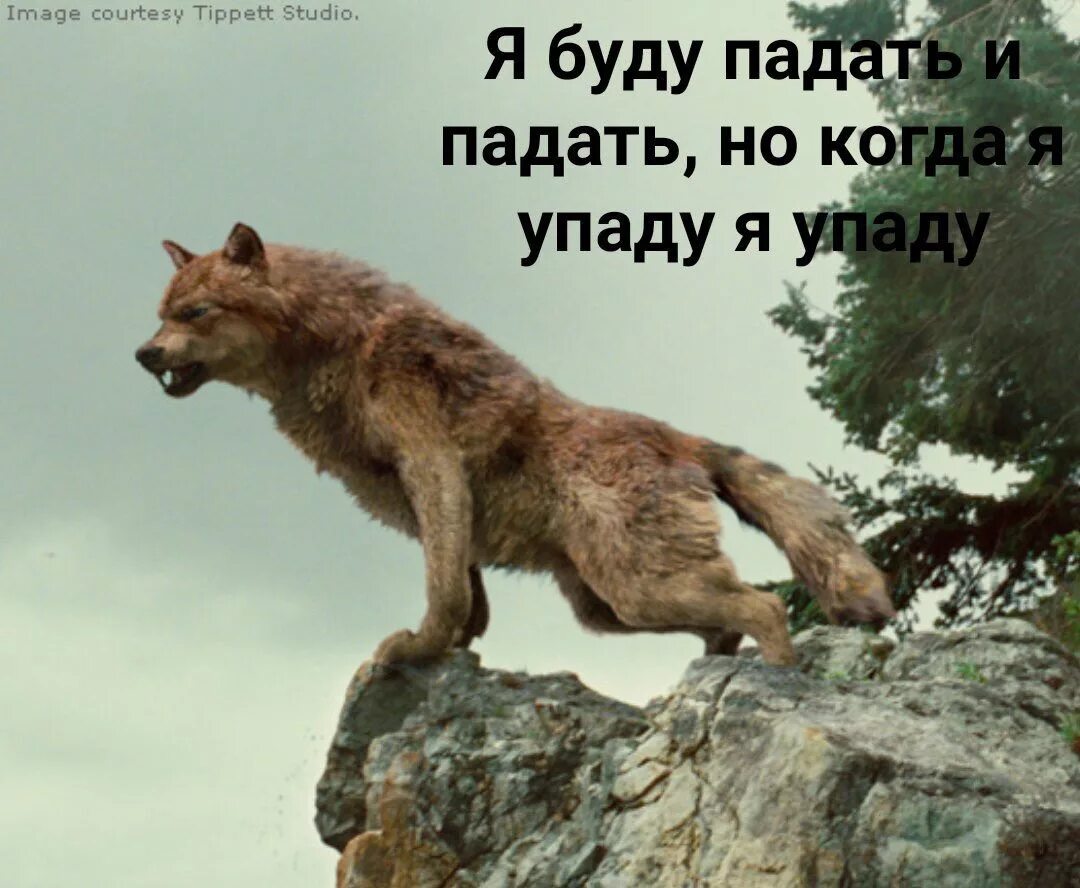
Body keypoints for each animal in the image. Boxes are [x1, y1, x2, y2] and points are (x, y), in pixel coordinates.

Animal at [136, 223, 894, 666]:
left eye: (195, 313)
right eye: (161, 315)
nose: (143, 354)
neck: (334, 342)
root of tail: (675, 436)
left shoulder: (431, 463)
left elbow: (442, 587)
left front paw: (418, 649)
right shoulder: (433, 500)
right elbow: (464, 589)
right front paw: (451, 648)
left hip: (637, 590)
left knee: (766, 606)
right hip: (603, 607)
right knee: (730, 617)